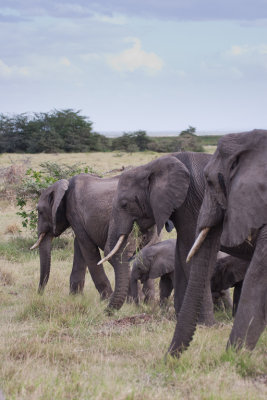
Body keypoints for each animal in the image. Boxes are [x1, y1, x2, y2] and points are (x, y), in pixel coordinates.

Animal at [31, 172, 159, 310]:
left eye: (40, 211)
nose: (40, 294)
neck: (66, 185)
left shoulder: (74, 213)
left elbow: (88, 250)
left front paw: (105, 299)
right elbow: (80, 247)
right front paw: (75, 297)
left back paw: (135, 302)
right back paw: (148, 302)